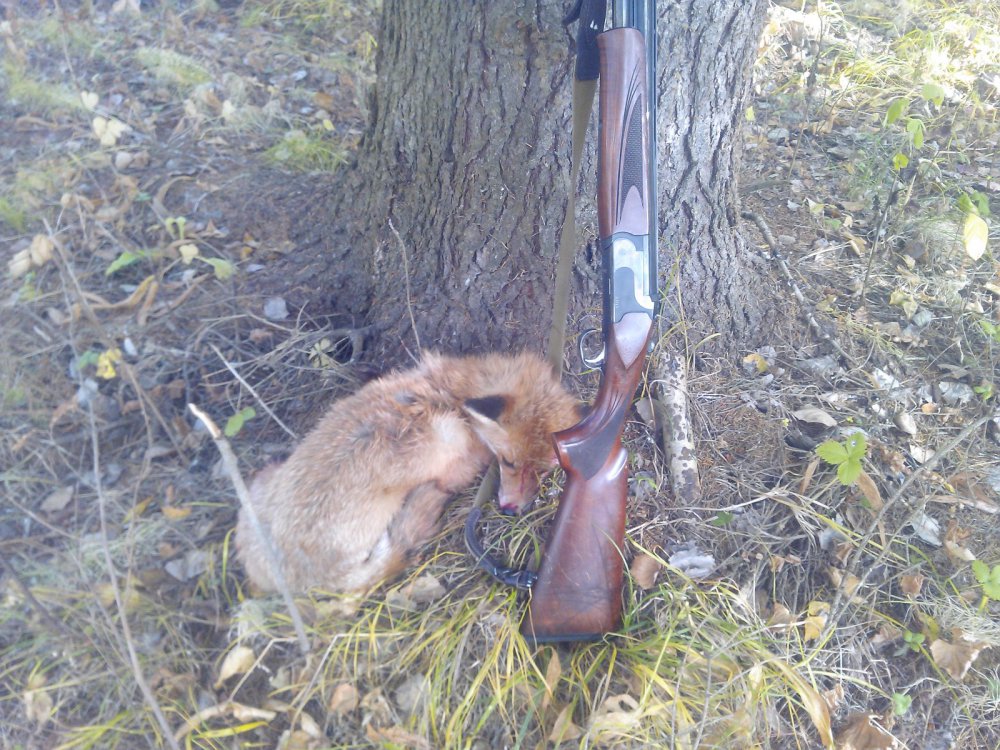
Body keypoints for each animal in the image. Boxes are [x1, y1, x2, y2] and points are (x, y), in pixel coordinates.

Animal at [235, 351, 580, 594]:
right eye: (508, 462)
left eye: (544, 471)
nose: (511, 510)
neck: (450, 394)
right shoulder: (455, 462)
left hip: (260, 484)